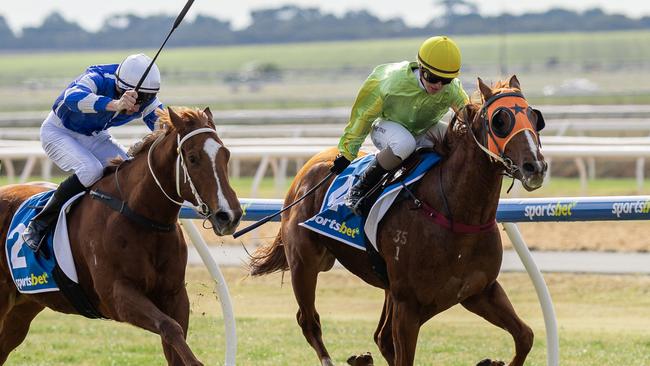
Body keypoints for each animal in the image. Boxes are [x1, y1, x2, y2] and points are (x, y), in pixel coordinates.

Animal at [0, 107, 242, 364]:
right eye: (193, 158)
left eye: (225, 154)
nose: (229, 215)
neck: (141, 217)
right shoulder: (117, 296)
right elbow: (169, 327)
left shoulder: (174, 295)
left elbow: (174, 338)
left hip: (24, 306)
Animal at [251, 76, 544, 364]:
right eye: (500, 121)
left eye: (534, 116)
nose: (536, 167)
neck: (456, 215)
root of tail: (305, 172)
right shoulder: (409, 304)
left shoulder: (479, 292)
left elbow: (525, 336)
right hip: (305, 264)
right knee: (309, 321)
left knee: (380, 337)